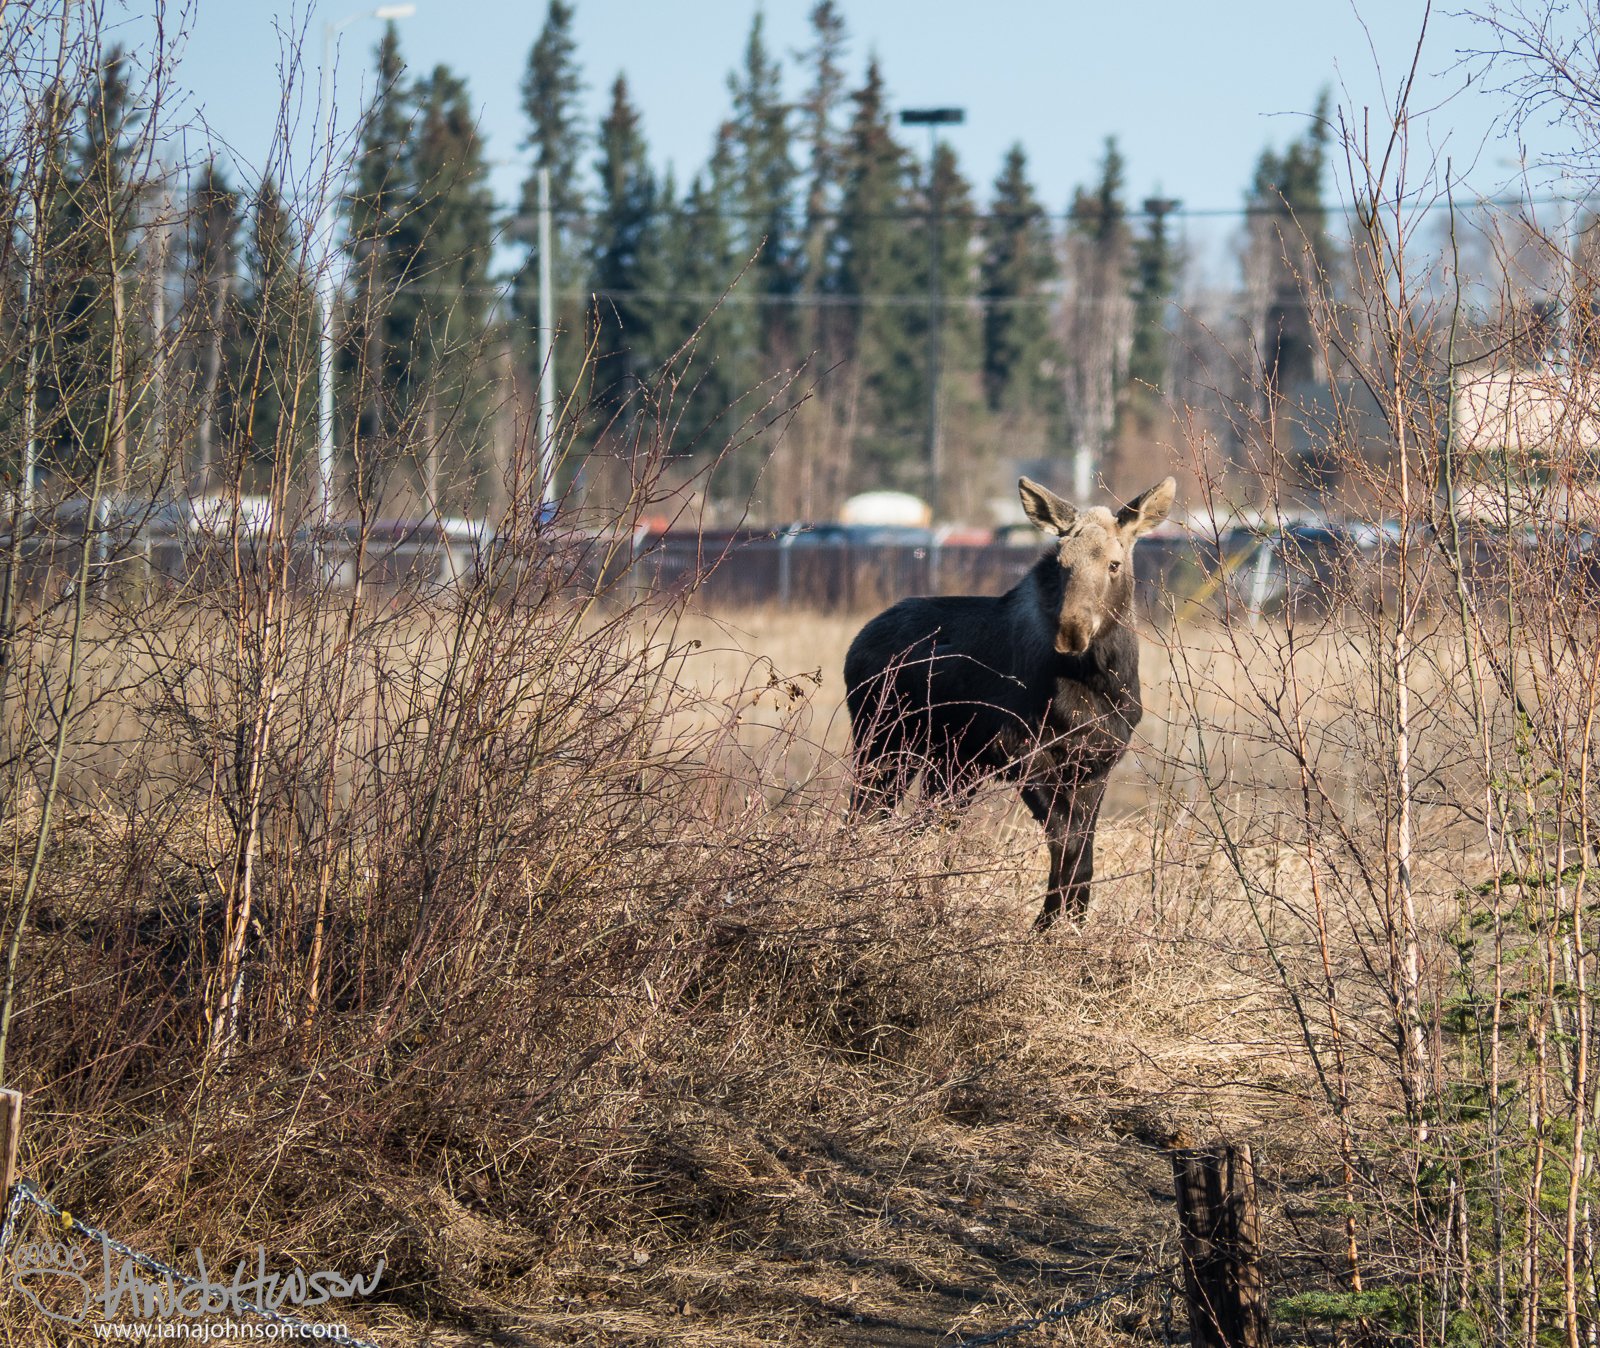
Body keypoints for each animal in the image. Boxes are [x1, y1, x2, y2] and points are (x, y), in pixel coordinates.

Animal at [843, 476, 1176, 928]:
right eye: (1062, 565)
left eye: (1114, 564)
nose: (1072, 632)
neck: (1099, 680)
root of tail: (857, 644)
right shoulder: (1021, 748)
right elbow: (1066, 840)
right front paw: (1048, 924)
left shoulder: (1096, 763)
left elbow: (1084, 847)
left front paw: (1070, 919)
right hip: (885, 745)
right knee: (863, 818)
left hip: (952, 767)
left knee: (925, 827)